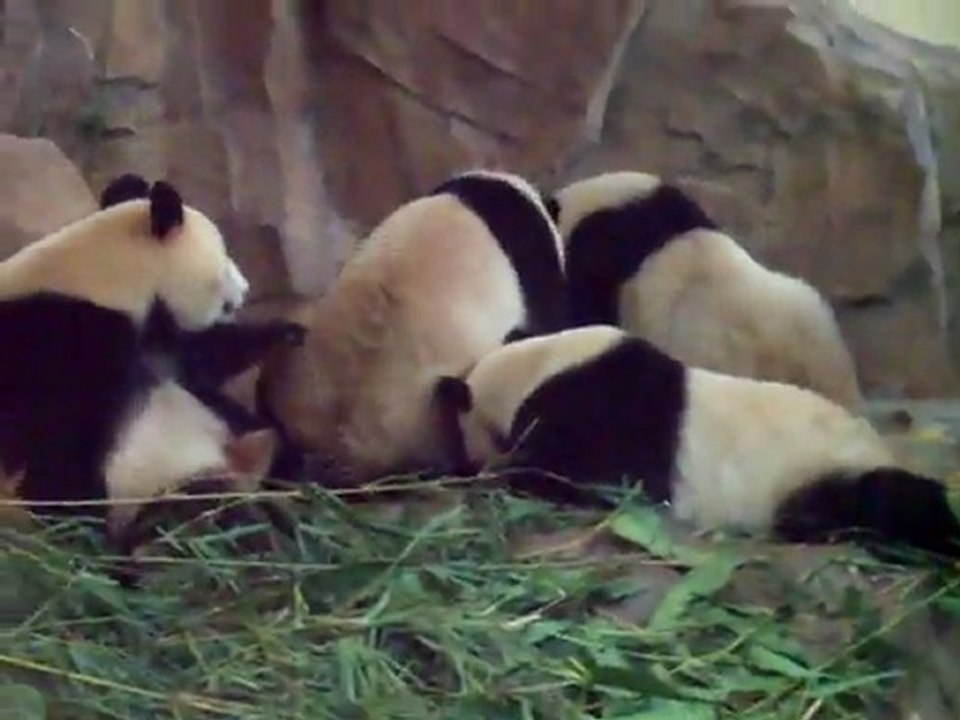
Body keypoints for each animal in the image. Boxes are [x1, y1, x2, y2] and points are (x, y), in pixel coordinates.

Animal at [436, 325, 960, 560]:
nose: (463, 463)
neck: (536, 368)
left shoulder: (608, 414)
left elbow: (597, 476)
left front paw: (508, 473)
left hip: (817, 469)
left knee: (882, 499)